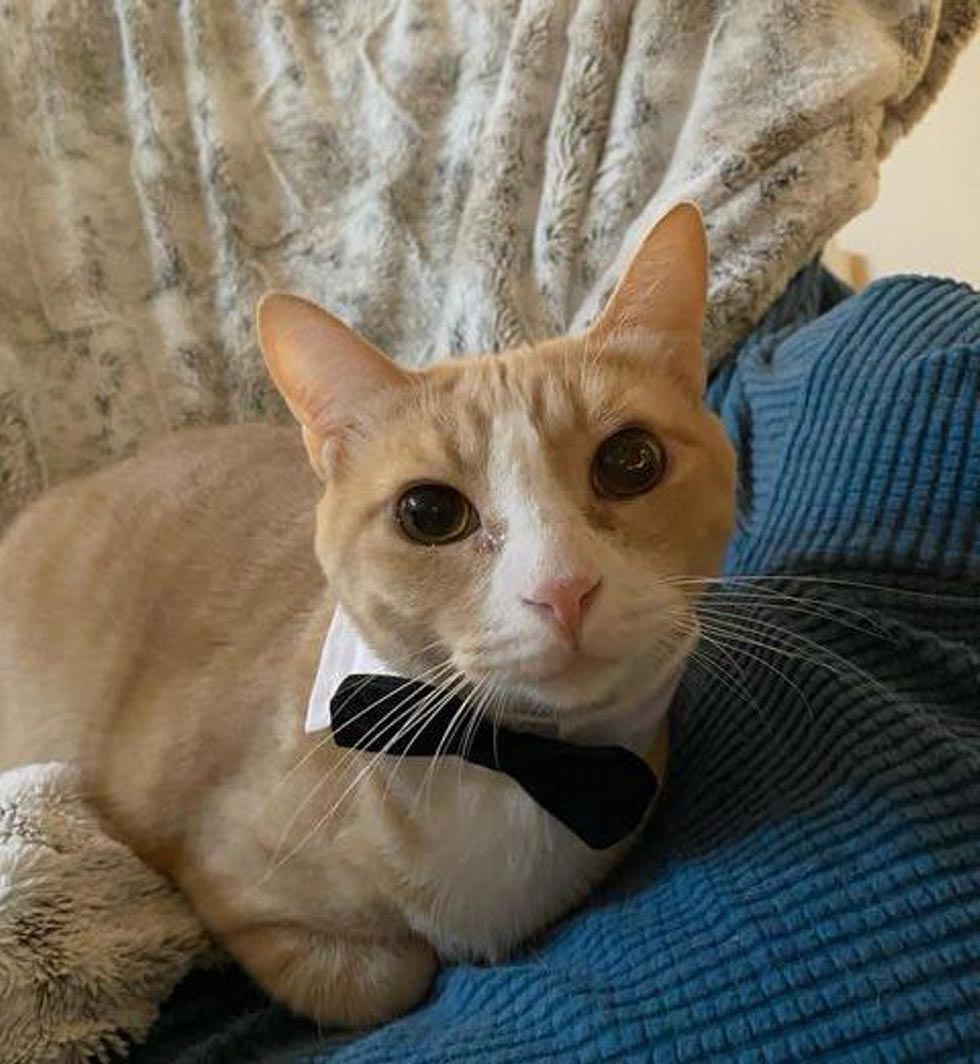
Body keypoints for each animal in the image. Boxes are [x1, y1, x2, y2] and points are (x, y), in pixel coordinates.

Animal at [0, 203, 735, 1026]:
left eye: (630, 462)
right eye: (430, 513)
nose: (563, 588)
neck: (512, 764)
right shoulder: (223, 879)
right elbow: (389, 976)